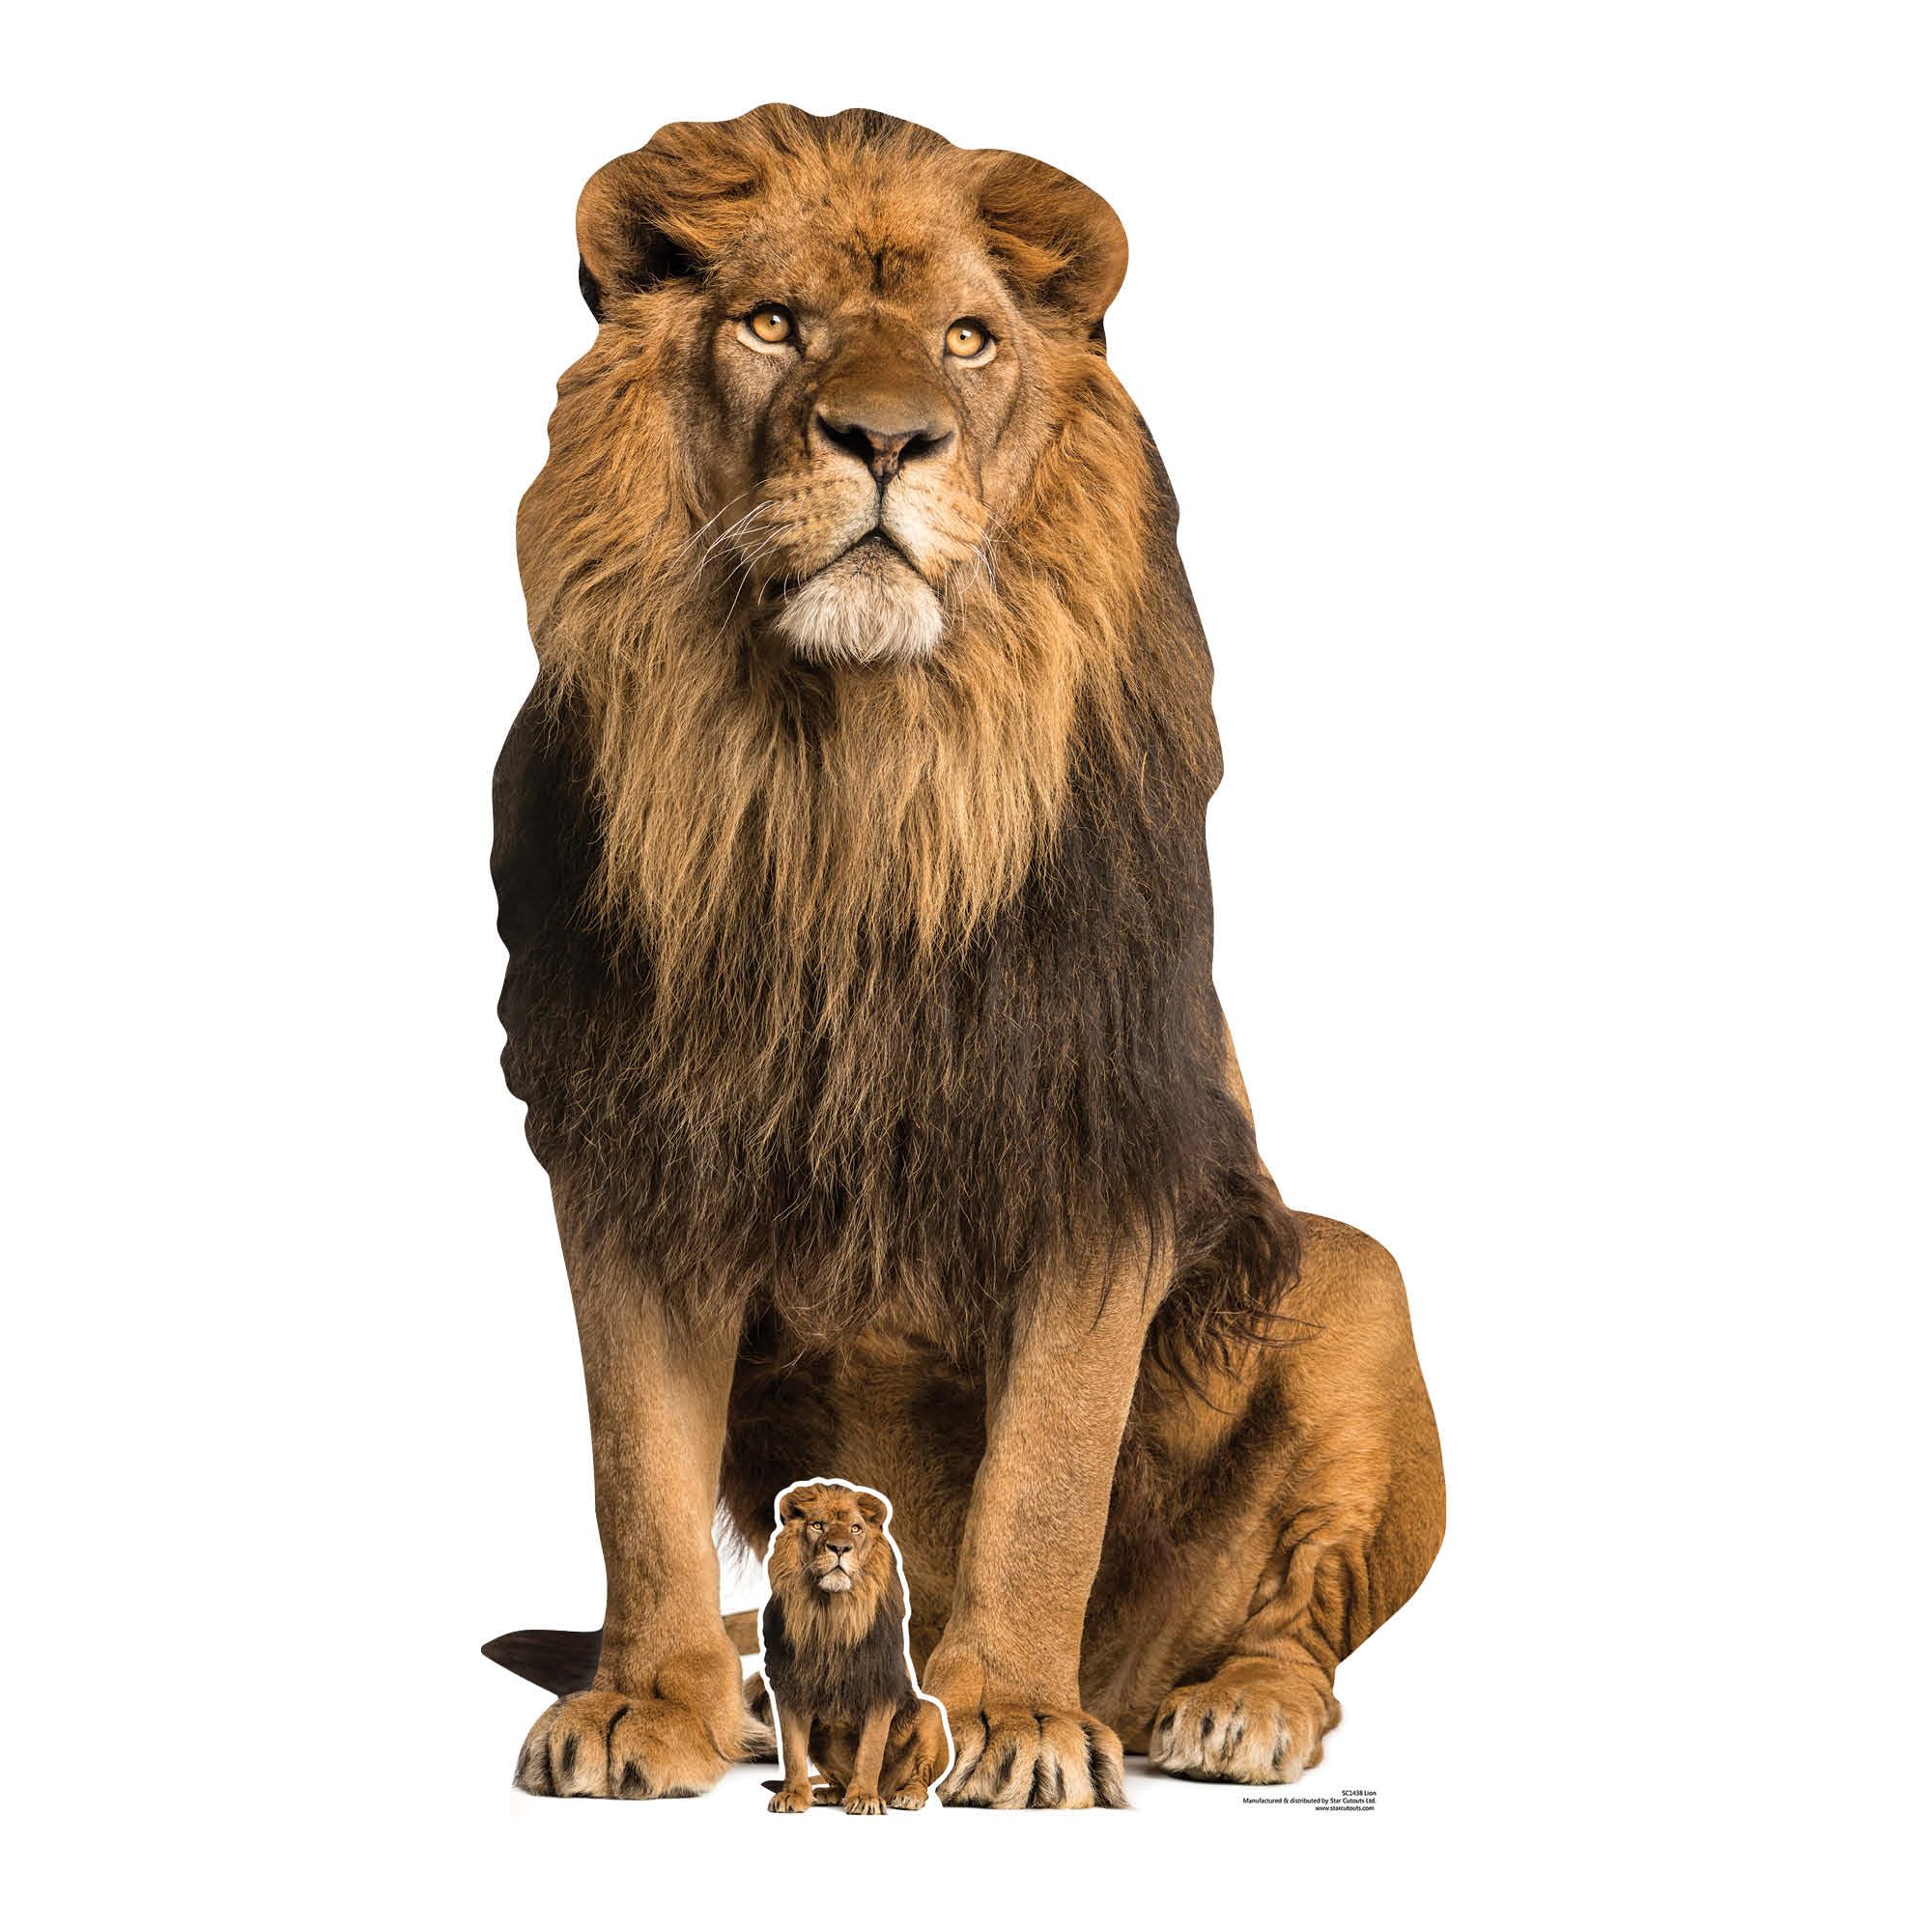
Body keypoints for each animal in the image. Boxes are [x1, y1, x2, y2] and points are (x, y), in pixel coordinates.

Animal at [757, 1481, 951, 1815]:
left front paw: (864, 1798)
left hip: (931, 1714)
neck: (831, 1614)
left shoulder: (880, 1687)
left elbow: (870, 1751)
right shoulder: (790, 1688)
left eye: (856, 1528)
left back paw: (904, 1795)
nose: (839, 1548)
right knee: (834, 1777)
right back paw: (829, 1792)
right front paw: (793, 1794)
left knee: (921, 1778)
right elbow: (792, 1750)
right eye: (818, 1525)